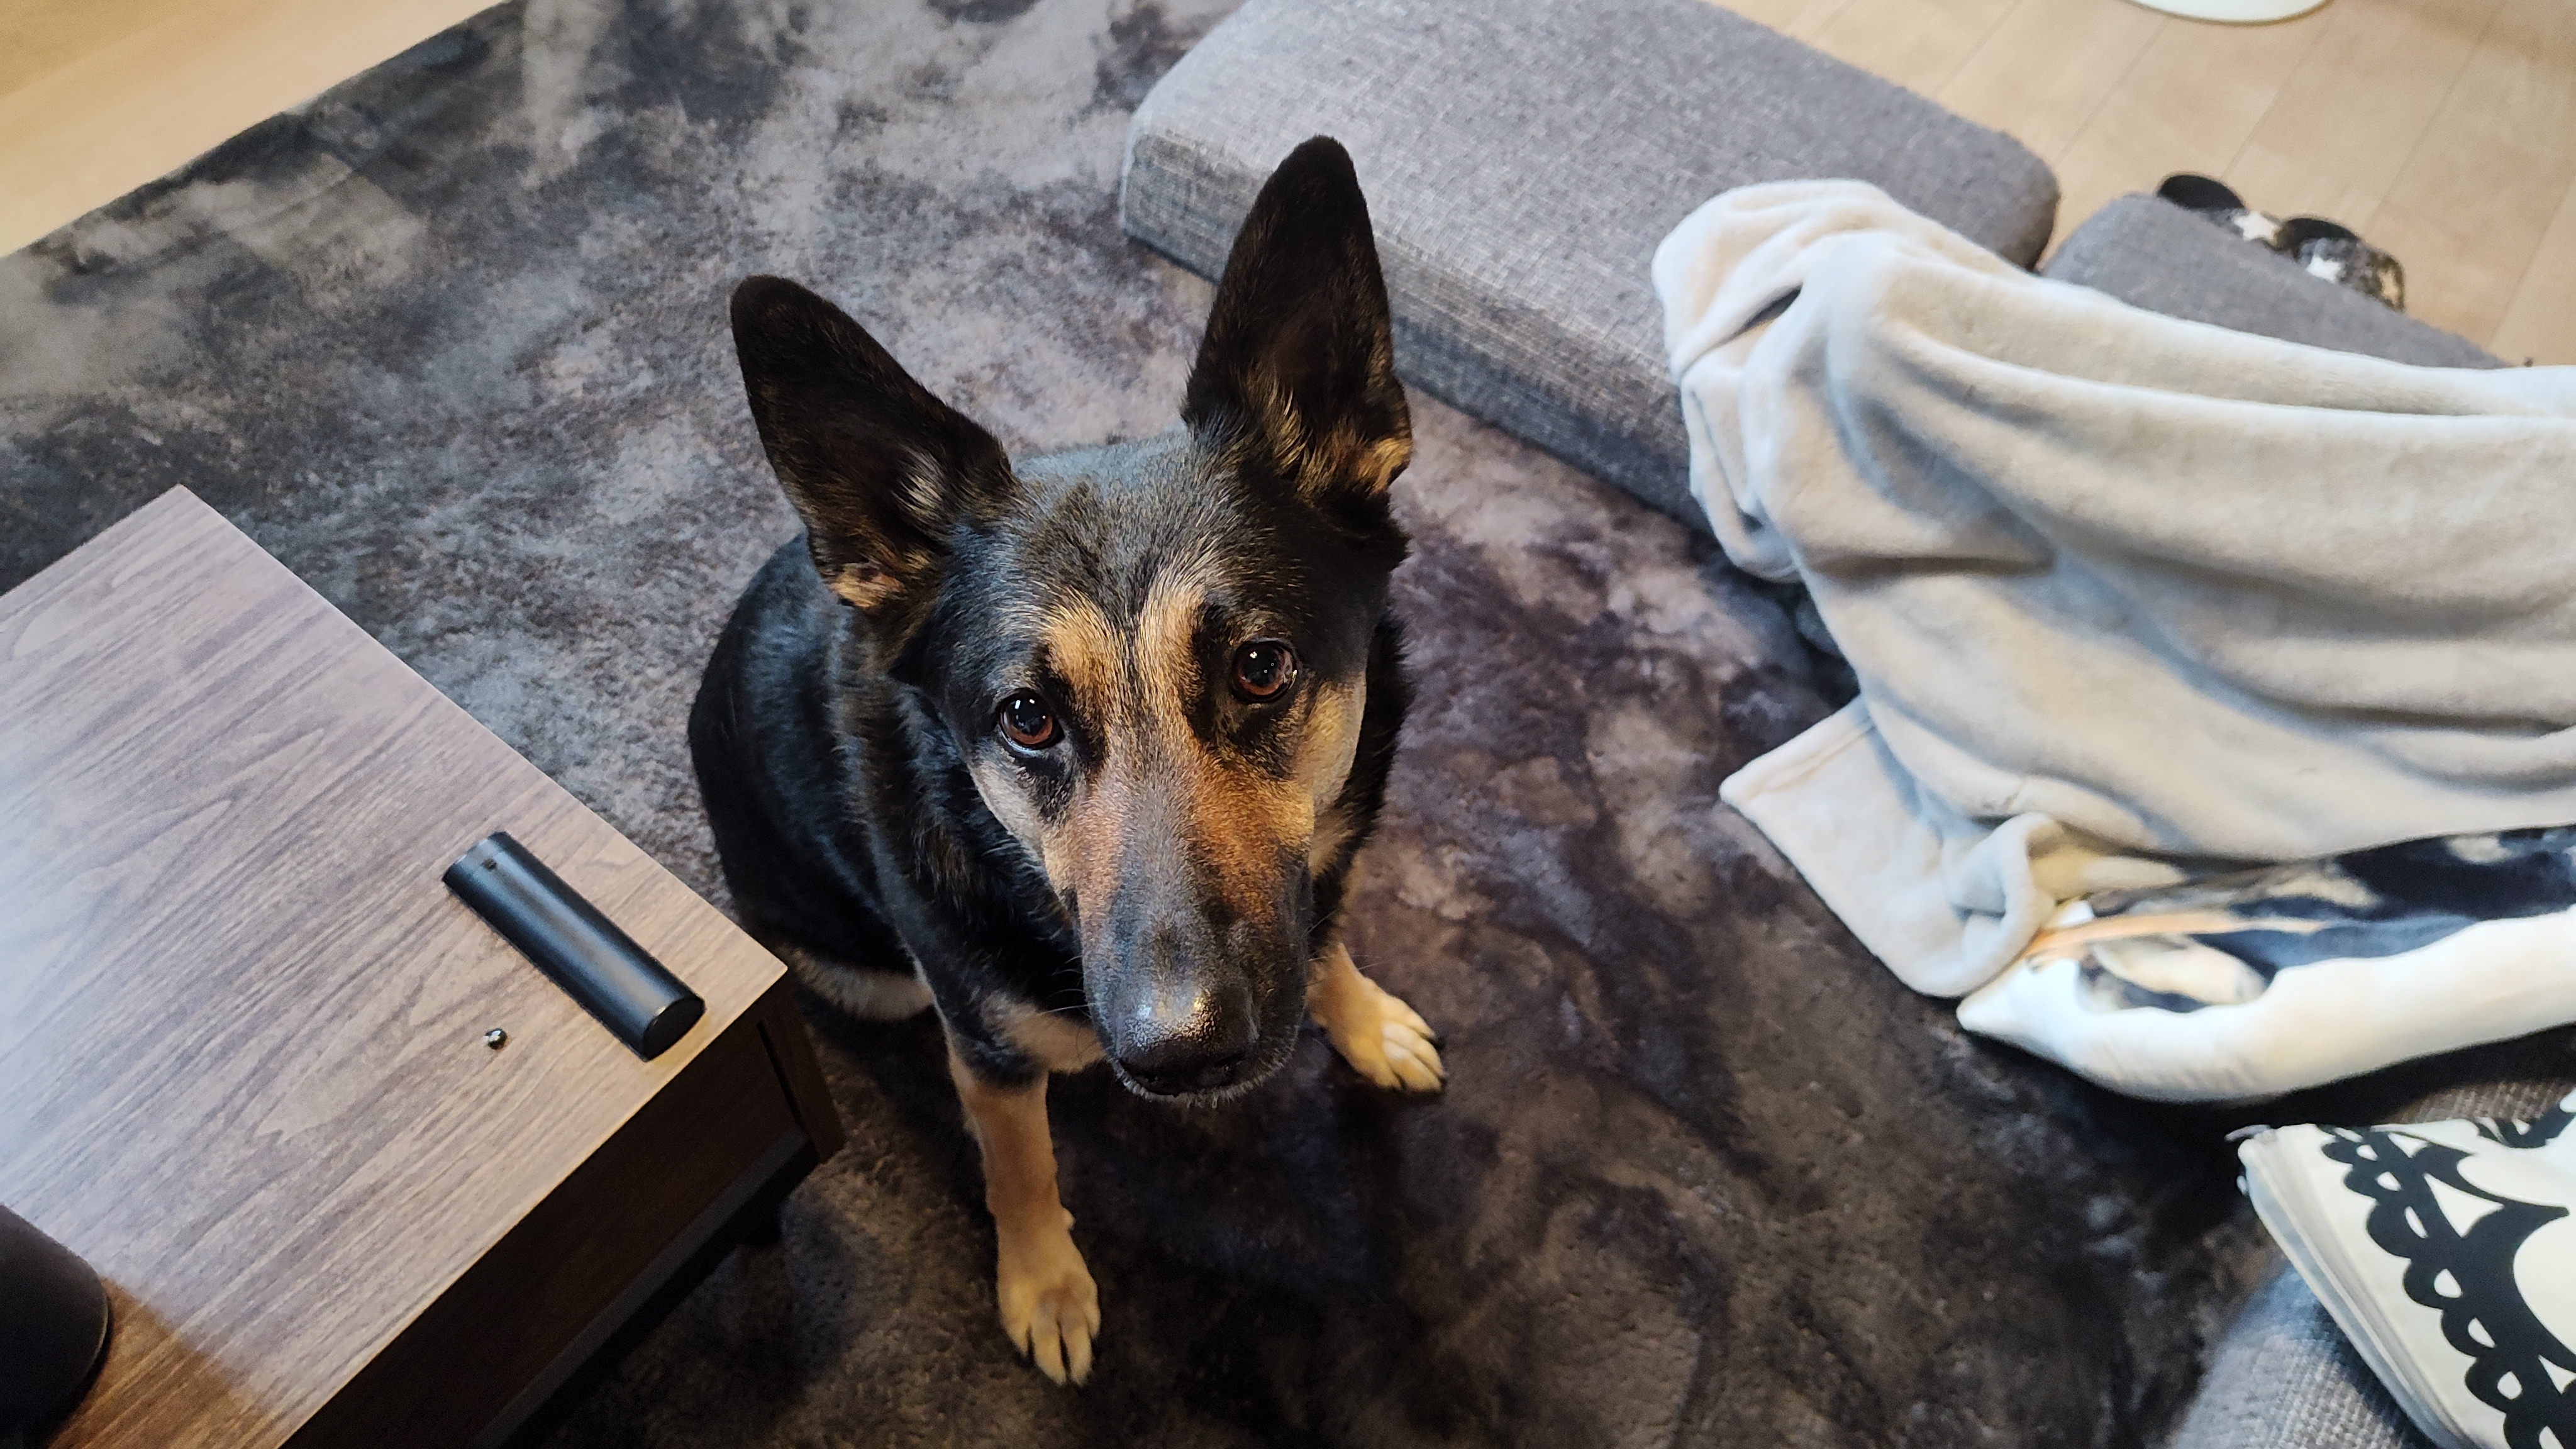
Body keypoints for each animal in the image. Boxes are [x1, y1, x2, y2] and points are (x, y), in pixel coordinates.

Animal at [688, 137, 1442, 1386]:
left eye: (1260, 666)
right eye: (1027, 717)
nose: (1181, 1052)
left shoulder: (1314, 880)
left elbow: (1325, 939)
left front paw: (1364, 1016)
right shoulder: (986, 1048)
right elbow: (1020, 1163)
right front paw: (1043, 1280)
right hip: (879, 978)